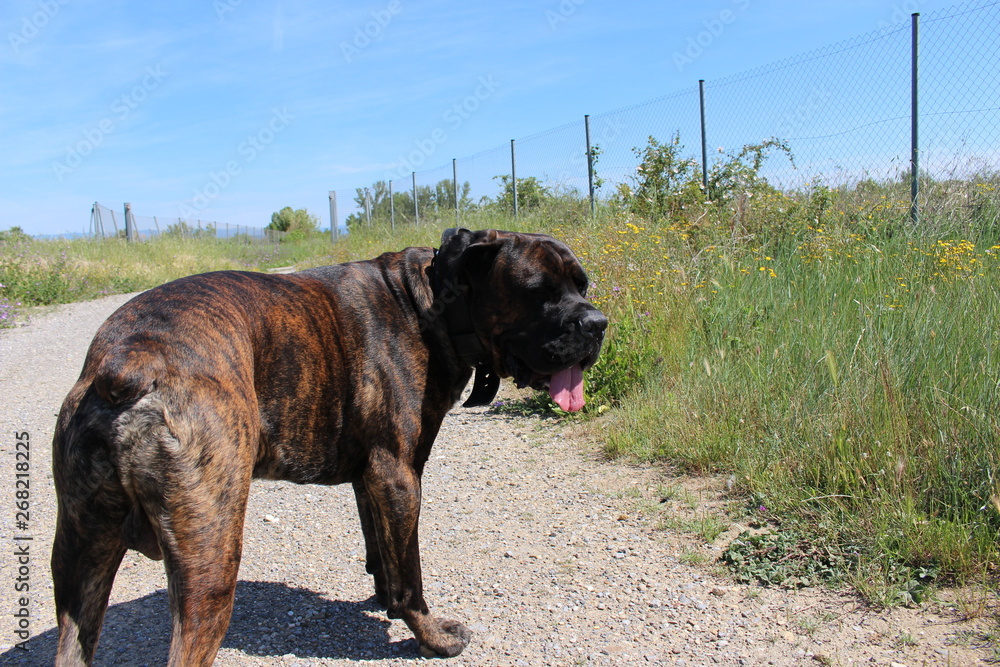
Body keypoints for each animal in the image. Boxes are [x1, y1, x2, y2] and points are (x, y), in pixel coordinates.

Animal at [50, 228, 604, 664]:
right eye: (538, 292)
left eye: (582, 285)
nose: (597, 323)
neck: (431, 304)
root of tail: (125, 363)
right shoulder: (399, 476)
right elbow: (411, 573)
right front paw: (431, 636)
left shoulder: (371, 479)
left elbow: (382, 551)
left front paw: (384, 597)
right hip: (209, 560)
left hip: (80, 561)